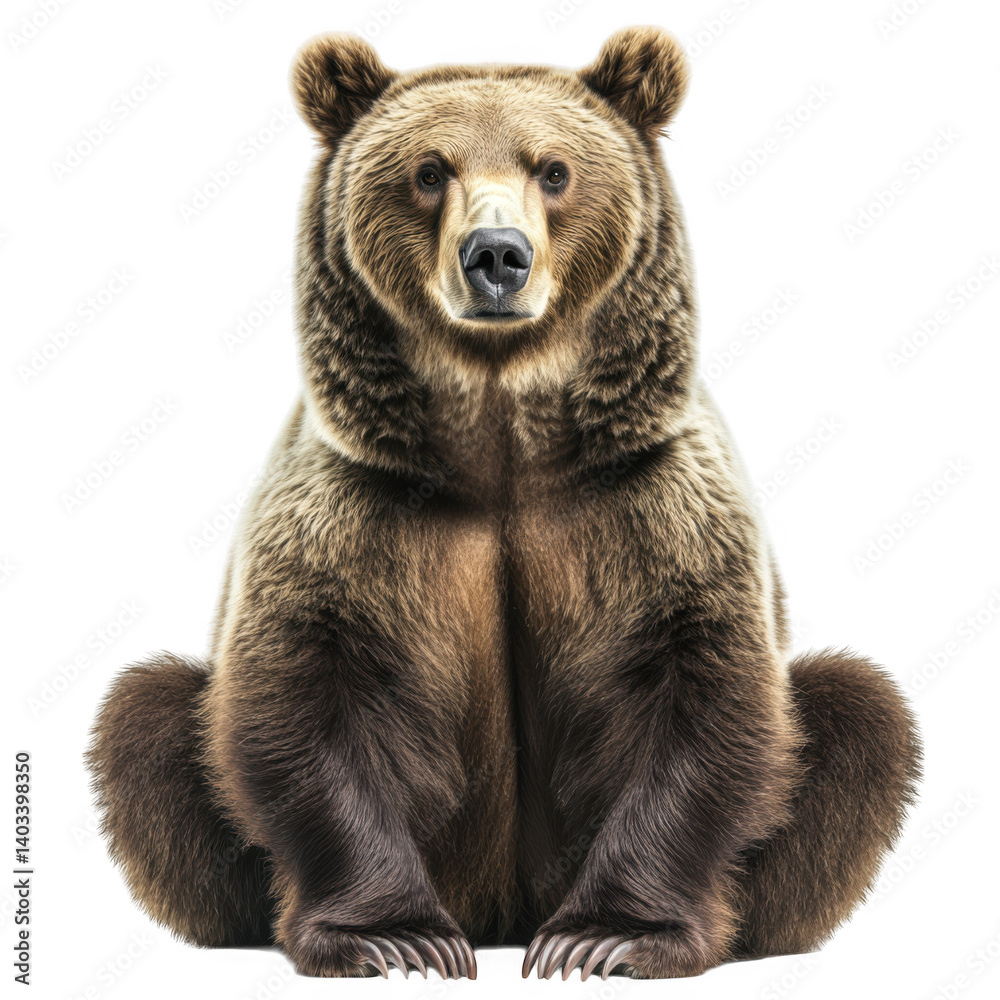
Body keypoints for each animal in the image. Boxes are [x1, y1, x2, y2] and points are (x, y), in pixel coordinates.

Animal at [86, 27, 922, 981]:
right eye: (428, 170)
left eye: (553, 169)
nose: (496, 256)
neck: (501, 449)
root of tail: (502, 911)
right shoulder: (350, 510)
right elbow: (300, 694)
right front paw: (392, 937)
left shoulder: (653, 503)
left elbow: (706, 694)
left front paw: (609, 937)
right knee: (145, 717)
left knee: (859, 712)